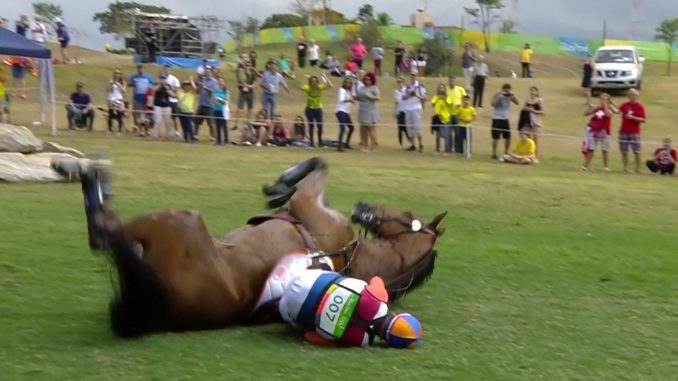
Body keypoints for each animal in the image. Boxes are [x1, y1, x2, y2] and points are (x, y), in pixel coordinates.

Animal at [53, 154, 446, 336]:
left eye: (407, 213)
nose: (363, 208)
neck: (353, 255)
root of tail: (154, 309)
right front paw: (278, 189)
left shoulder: (308, 202)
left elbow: (318, 164)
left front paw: (279, 185)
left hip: (180, 219)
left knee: (102, 233)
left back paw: (86, 173)